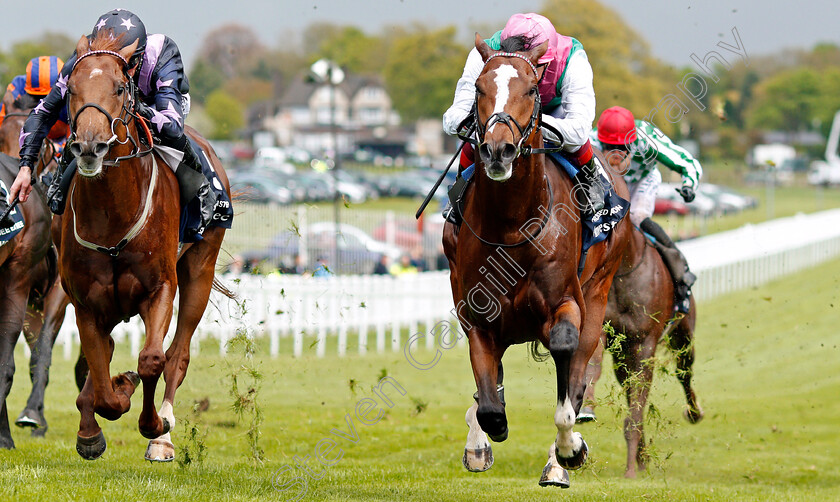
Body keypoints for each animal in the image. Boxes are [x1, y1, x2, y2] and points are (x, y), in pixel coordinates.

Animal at [58, 33, 231, 460]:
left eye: (120, 88)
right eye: (71, 88)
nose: (90, 146)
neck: (112, 215)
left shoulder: (160, 287)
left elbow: (154, 359)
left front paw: (154, 424)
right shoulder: (85, 302)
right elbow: (102, 383)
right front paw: (105, 410)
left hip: (200, 269)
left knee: (178, 355)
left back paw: (162, 437)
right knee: (101, 356)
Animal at [446, 34, 632, 486]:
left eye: (531, 90)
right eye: (478, 87)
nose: (497, 150)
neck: (513, 226)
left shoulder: (566, 302)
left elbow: (566, 362)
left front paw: (569, 450)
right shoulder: (476, 314)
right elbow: (489, 403)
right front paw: (482, 439)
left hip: (598, 293)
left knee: (578, 371)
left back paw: (559, 460)